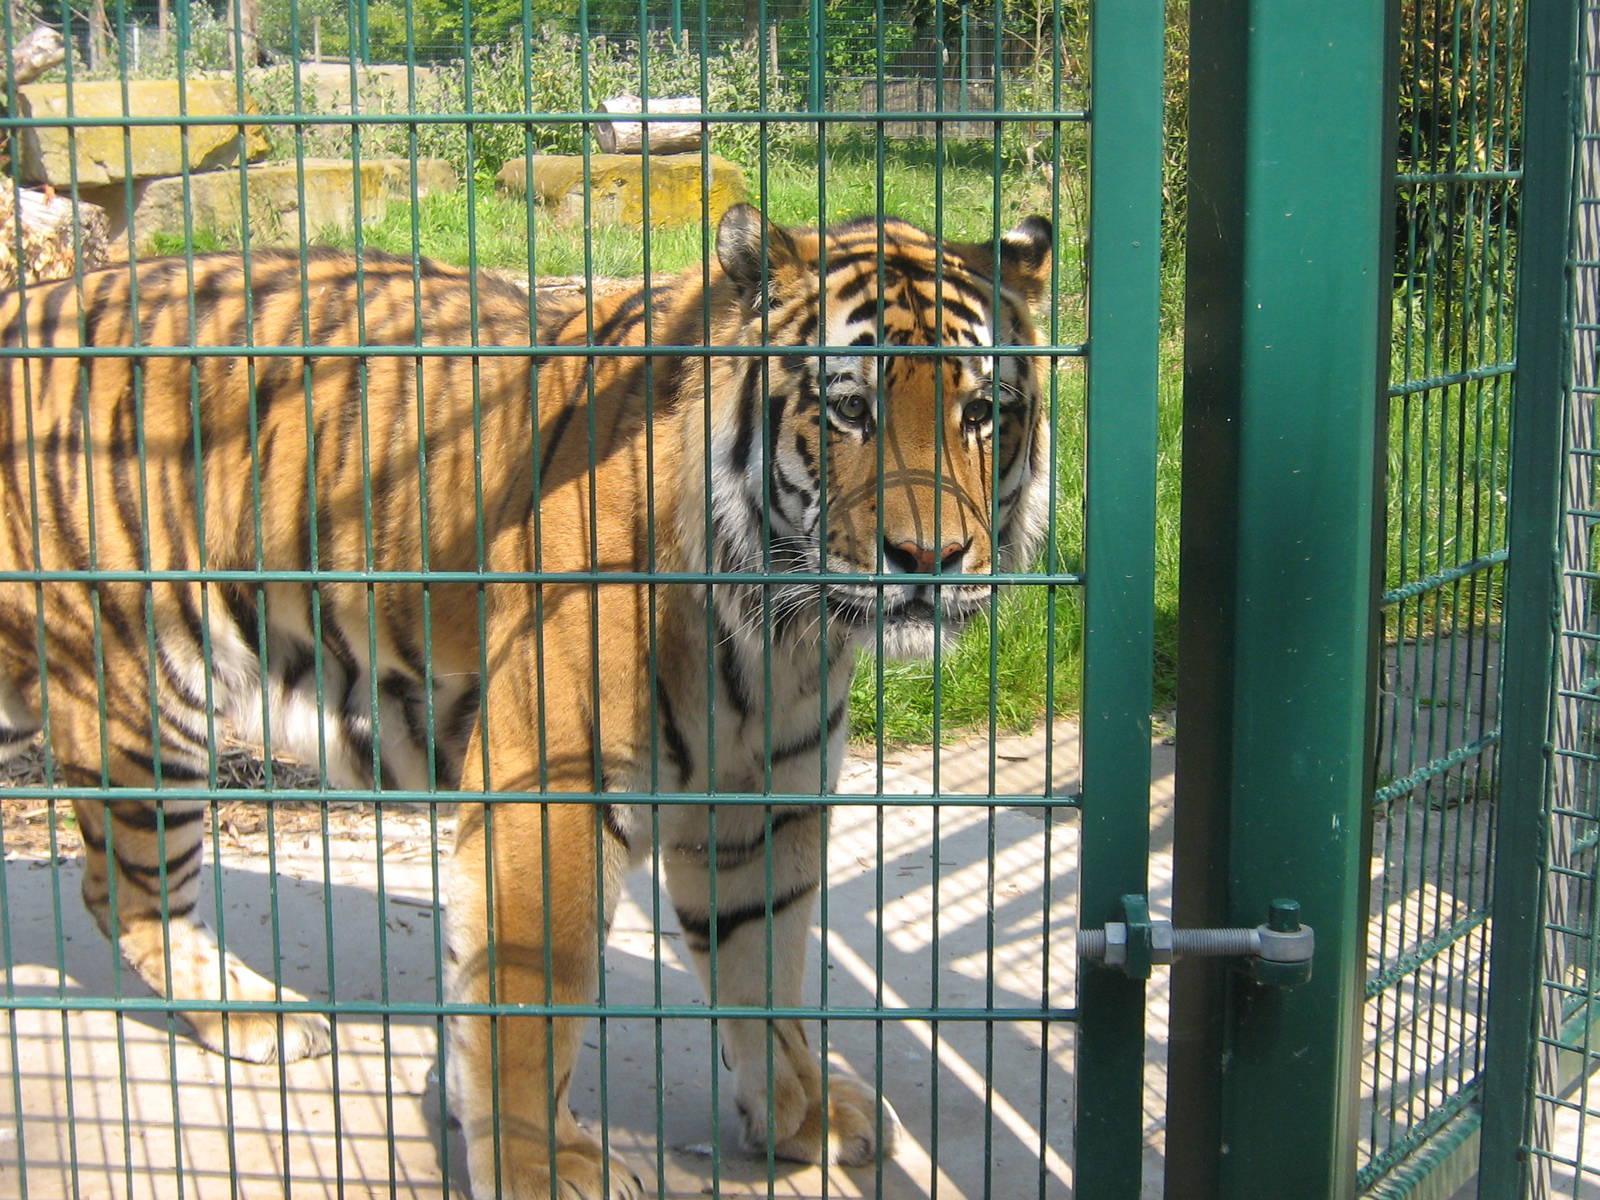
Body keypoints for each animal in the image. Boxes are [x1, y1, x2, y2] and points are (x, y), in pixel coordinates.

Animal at [0, 203, 1053, 1199]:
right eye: (849, 409)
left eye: (982, 413)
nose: (929, 559)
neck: (780, 629)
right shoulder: (550, 788)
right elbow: (531, 996)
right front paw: (539, 1165)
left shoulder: (766, 797)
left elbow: (766, 964)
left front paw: (800, 1112)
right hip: (147, 693)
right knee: (125, 893)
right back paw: (260, 1018)